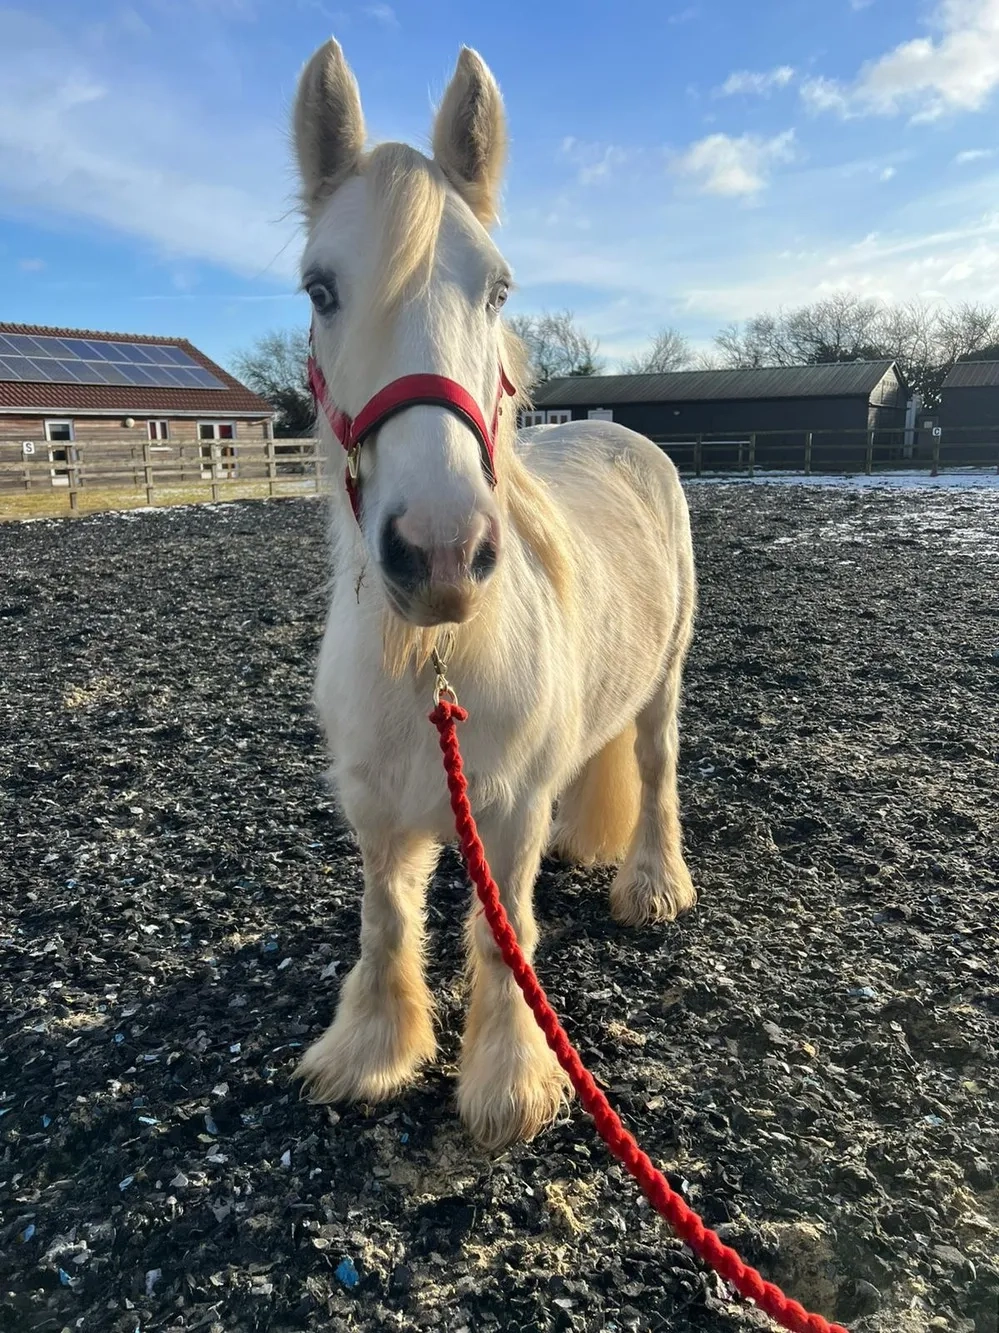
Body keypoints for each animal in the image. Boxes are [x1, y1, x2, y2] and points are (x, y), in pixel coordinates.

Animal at [292, 38, 698, 1151]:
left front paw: (510, 1081)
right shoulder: (375, 807)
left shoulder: (506, 810)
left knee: (654, 767)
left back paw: (652, 883)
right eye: (320, 288)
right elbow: (387, 919)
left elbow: (500, 931)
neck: (428, 665)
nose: (439, 552)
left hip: (666, 678)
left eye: (499, 290)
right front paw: (372, 1050)